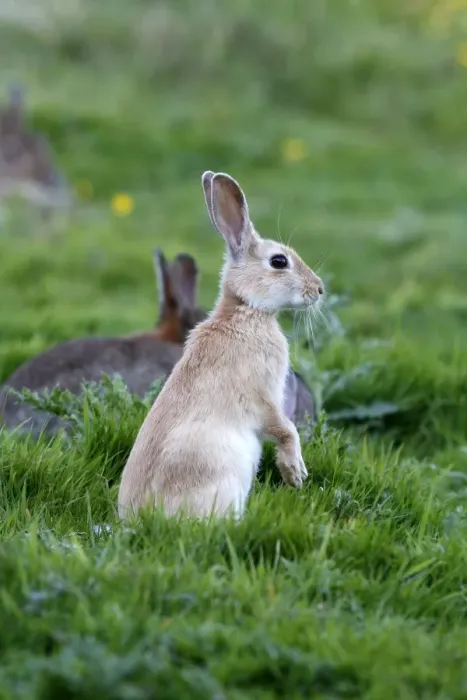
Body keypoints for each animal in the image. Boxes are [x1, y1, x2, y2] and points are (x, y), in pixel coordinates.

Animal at [118, 170, 324, 520]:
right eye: (279, 261)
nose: (319, 289)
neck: (245, 310)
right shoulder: (262, 396)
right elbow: (285, 429)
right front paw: (295, 473)